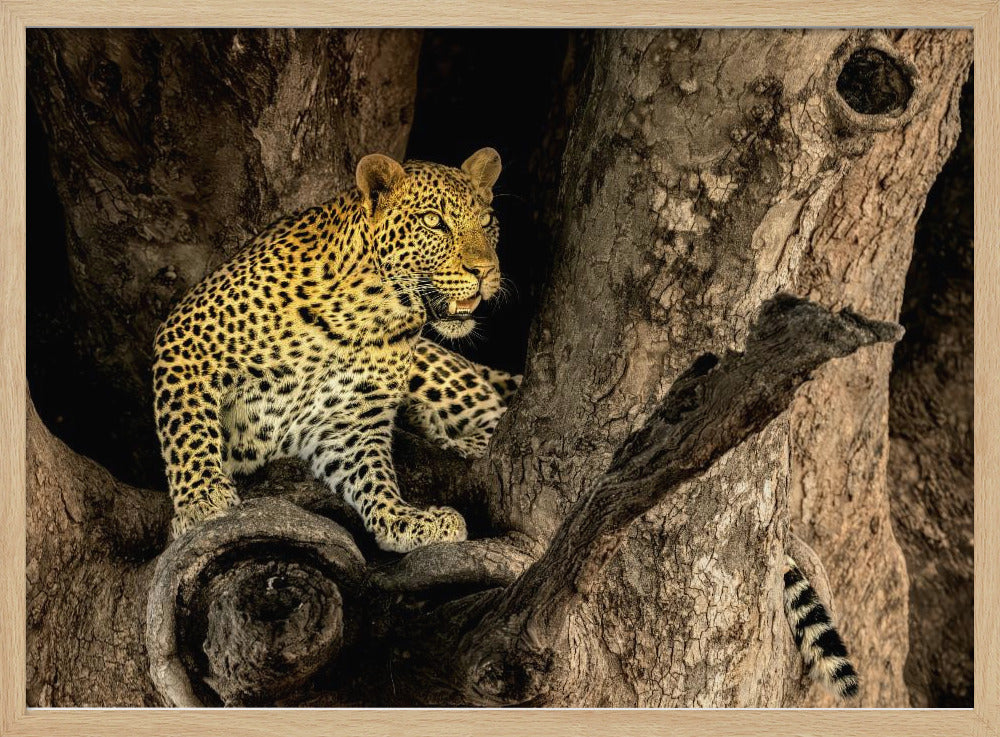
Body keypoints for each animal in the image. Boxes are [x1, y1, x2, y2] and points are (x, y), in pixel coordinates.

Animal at [152, 147, 520, 554]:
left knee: (493, 418)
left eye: (487, 222)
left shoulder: (348, 421)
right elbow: (189, 431)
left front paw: (402, 519)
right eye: (433, 221)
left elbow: (372, 475)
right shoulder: (187, 339)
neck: (367, 312)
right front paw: (201, 502)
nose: (485, 271)